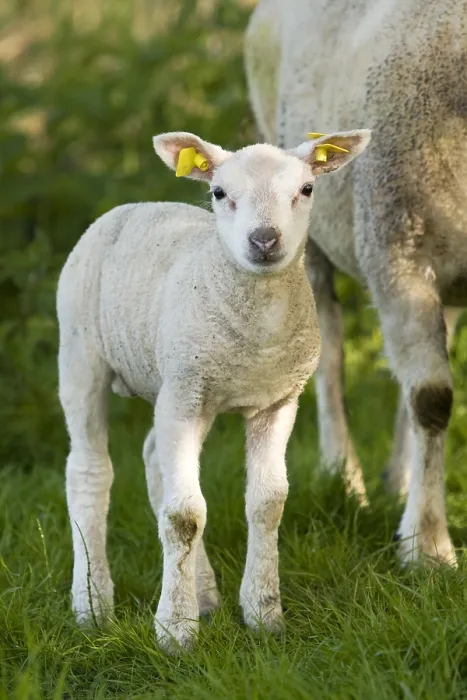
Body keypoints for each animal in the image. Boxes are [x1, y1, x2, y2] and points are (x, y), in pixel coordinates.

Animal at [57, 129, 370, 652]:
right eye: (219, 193)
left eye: (306, 189)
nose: (264, 239)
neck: (257, 335)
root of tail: (132, 208)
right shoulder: (185, 397)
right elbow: (184, 515)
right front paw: (175, 632)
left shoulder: (277, 400)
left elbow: (267, 504)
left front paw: (263, 614)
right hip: (84, 354)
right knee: (89, 472)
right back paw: (93, 606)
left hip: (169, 383)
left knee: (153, 461)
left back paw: (202, 592)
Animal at [245, 0, 467, 566]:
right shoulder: (397, 252)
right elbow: (432, 400)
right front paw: (428, 548)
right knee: (330, 351)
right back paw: (344, 479)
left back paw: (398, 481)